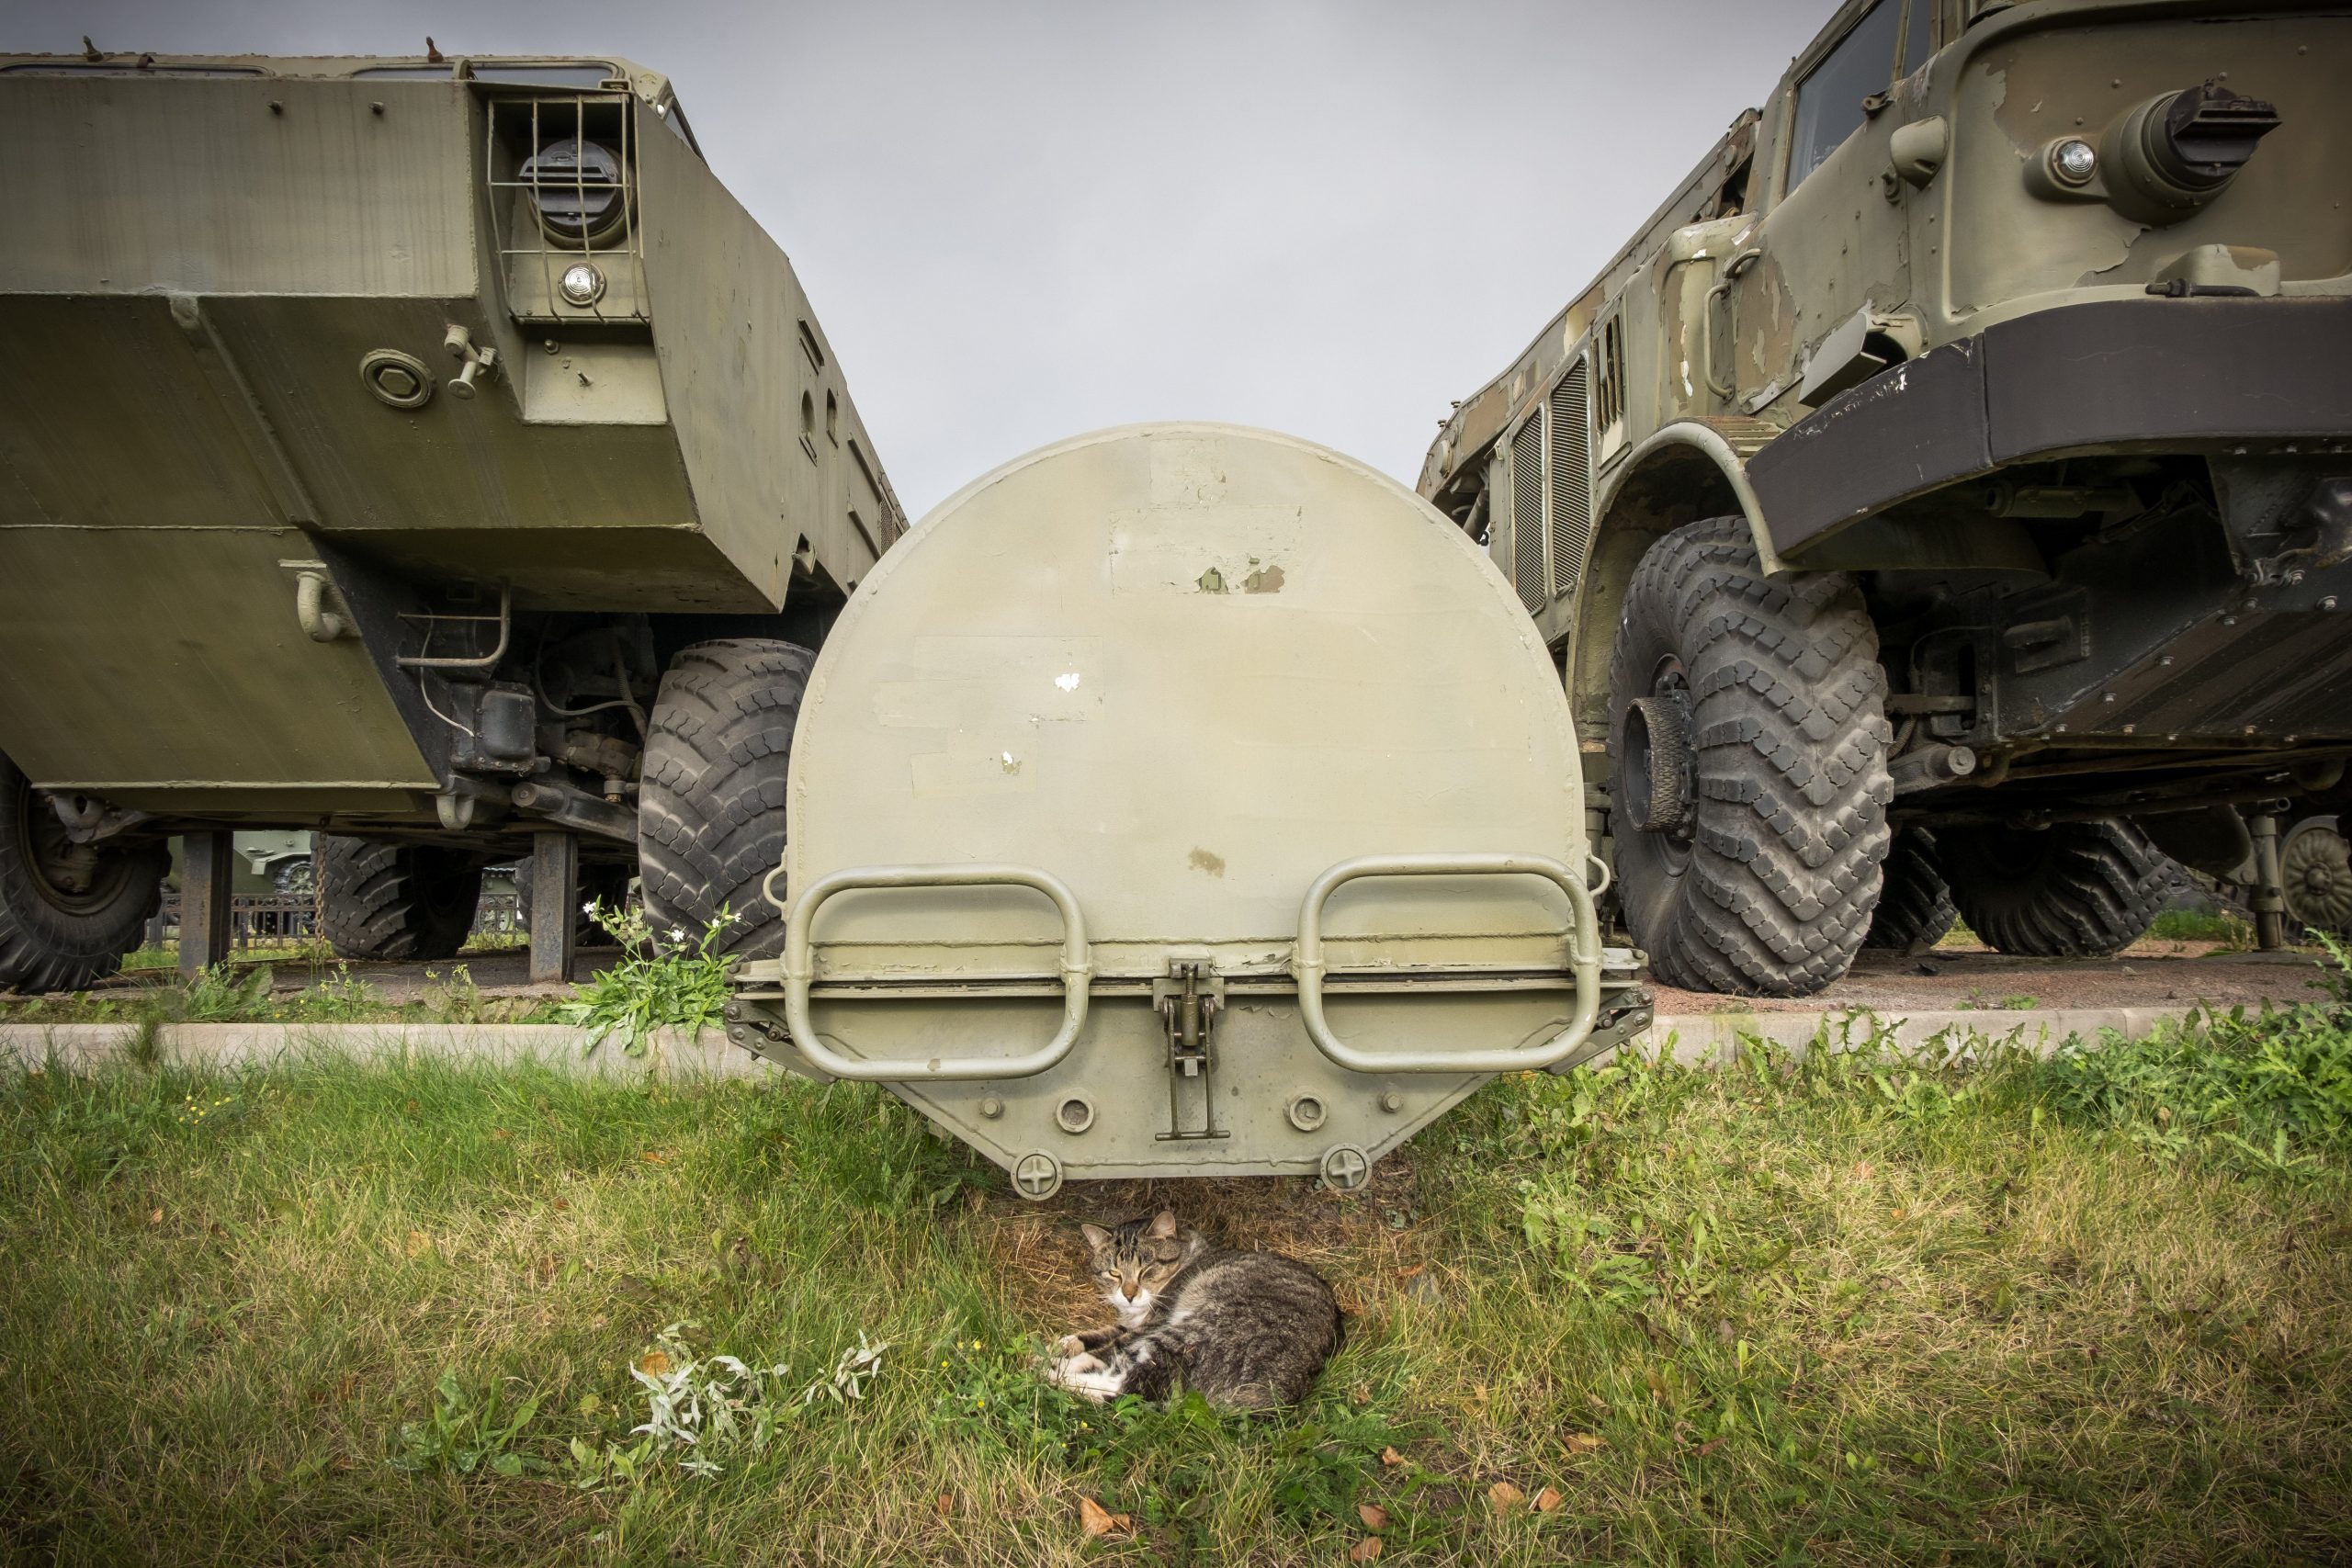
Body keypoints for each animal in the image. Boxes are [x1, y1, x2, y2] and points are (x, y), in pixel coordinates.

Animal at [1048, 1213, 1345, 1419]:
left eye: (1147, 1269)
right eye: (1114, 1273)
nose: (1129, 1295)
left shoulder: (1155, 1322)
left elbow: (1112, 1344)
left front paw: (1066, 1356)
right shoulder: (1135, 1322)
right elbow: (1103, 1333)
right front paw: (1067, 1343)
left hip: (1190, 1334)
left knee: (1123, 1386)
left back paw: (1051, 1371)